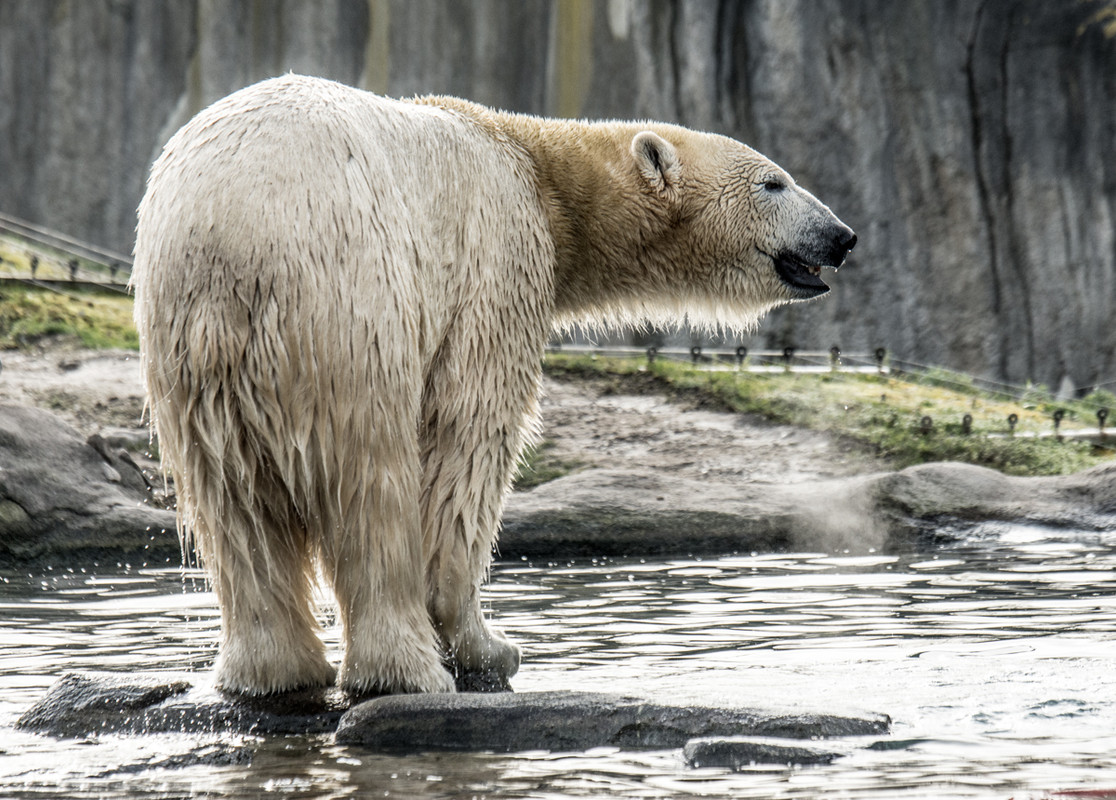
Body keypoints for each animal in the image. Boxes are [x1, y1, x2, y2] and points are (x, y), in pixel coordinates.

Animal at [132, 78, 852, 696]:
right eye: (774, 182)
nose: (842, 236)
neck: (536, 169)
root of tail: (232, 236)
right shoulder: (496, 259)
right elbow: (469, 441)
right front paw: (486, 646)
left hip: (189, 355)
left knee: (232, 507)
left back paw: (270, 670)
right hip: (350, 302)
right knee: (371, 482)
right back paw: (405, 671)